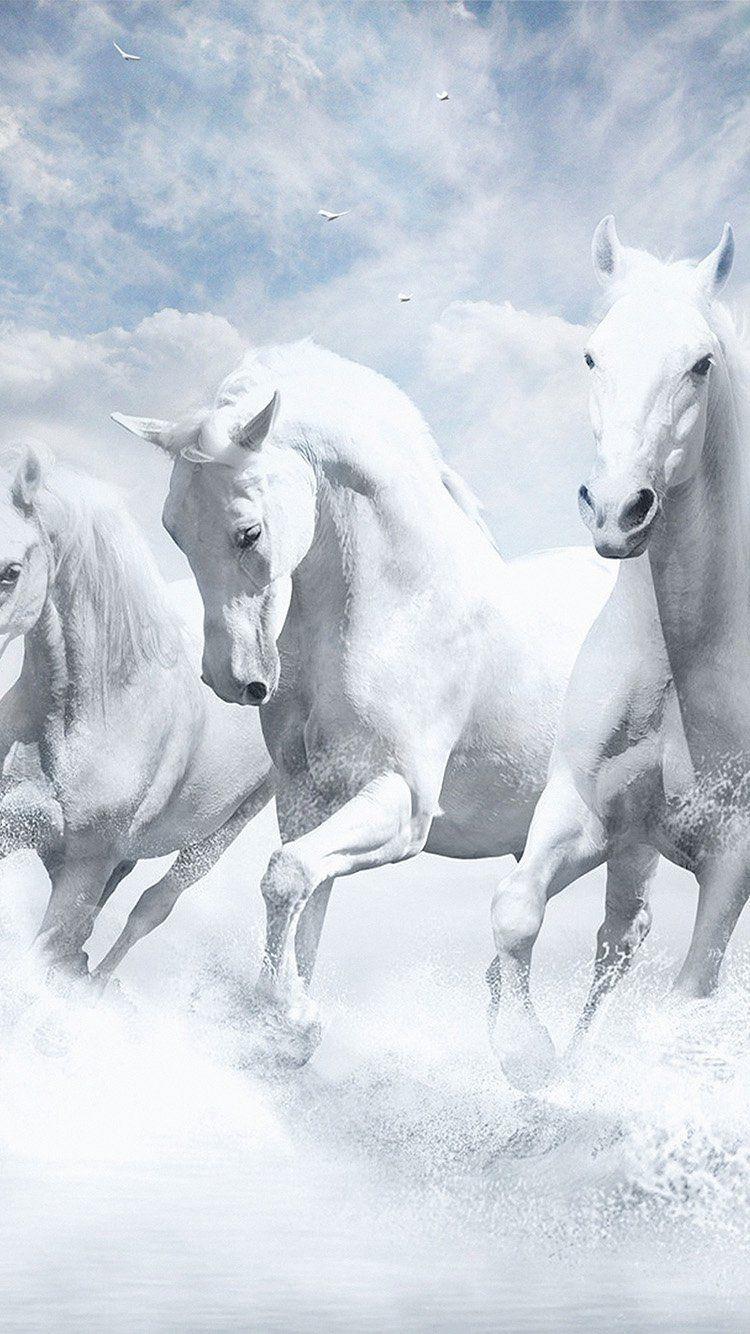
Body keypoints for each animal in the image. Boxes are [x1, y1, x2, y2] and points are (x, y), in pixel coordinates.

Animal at [112, 339, 643, 1072]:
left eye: (248, 533)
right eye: (173, 531)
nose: (231, 679)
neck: (397, 608)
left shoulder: (401, 802)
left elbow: (285, 878)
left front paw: (289, 1017)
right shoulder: (309, 799)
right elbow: (304, 896)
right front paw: (287, 1026)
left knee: (619, 937)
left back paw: (560, 1065)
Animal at [487, 218, 750, 1088]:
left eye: (700, 363)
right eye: (592, 355)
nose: (615, 511)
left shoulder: (733, 854)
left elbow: (691, 994)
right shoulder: (587, 808)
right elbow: (516, 910)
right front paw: (526, 1056)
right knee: (617, 939)